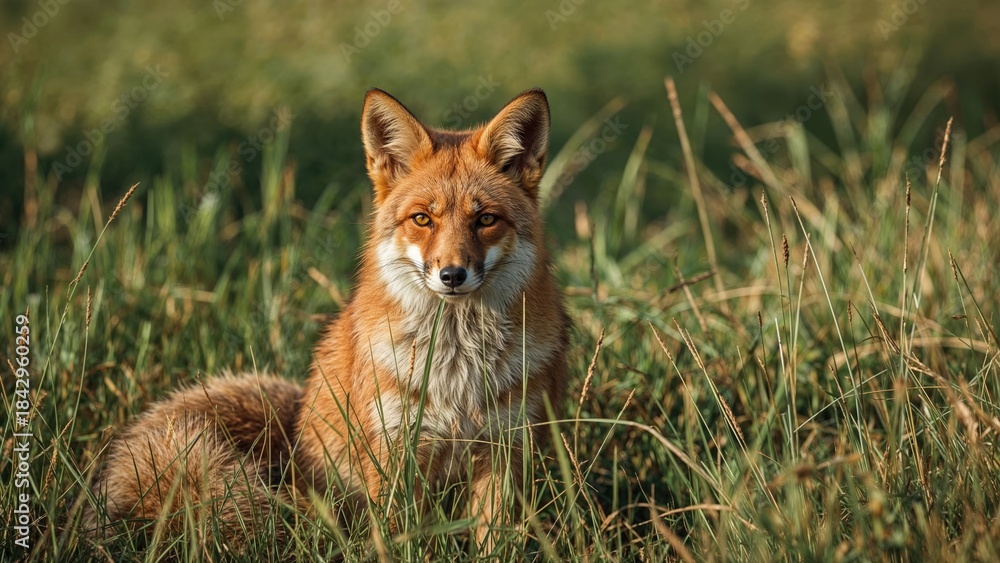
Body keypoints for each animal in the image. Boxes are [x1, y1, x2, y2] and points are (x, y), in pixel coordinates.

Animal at [85, 87, 569, 553]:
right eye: (422, 219)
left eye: (485, 219)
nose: (452, 275)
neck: (457, 375)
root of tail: (295, 424)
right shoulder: (393, 449)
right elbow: (398, 536)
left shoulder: (507, 449)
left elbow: (495, 539)